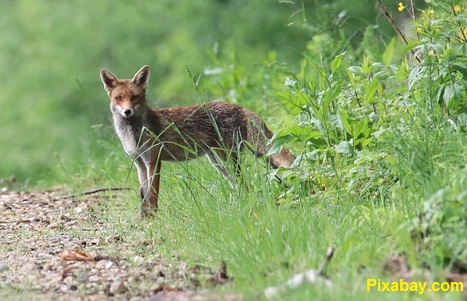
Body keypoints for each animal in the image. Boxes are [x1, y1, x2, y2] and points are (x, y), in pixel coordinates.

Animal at [100, 65, 294, 216]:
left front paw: (155, 219)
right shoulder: (140, 163)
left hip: (226, 159)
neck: (133, 134)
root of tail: (239, 107)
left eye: (134, 97)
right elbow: (143, 196)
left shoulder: (153, 161)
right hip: (218, 162)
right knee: (240, 185)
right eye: (119, 98)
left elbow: (153, 195)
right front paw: (144, 218)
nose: (127, 112)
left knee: (245, 184)